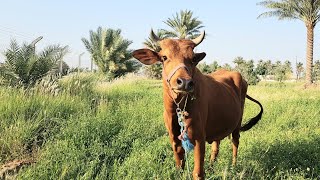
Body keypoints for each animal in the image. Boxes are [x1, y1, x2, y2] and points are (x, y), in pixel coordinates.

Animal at [132, 30, 262, 179]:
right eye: (164, 57)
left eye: (193, 59)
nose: (184, 82)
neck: (178, 109)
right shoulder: (174, 138)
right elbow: (179, 165)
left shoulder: (199, 138)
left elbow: (198, 172)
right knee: (216, 147)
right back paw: (212, 167)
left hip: (237, 123)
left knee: (235, 142)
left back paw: (234, 167)